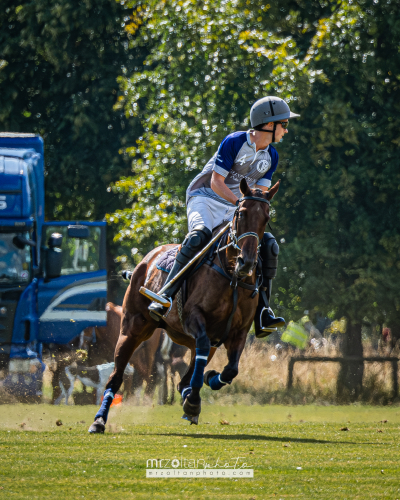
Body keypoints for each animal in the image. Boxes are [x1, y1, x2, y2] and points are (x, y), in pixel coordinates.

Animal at [89, 178, 280, 432]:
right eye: (241, 213)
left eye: (266, 218)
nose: (247, 263)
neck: (232, 275)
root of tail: (146, 259)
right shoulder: (194, 318)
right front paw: (194, 401)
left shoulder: (238, 332)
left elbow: (231, 369)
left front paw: (207, 382)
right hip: (132, 330)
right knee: (116, 377)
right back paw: (99, 420)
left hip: (190, 339)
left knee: (185, 377)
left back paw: (189, 395)